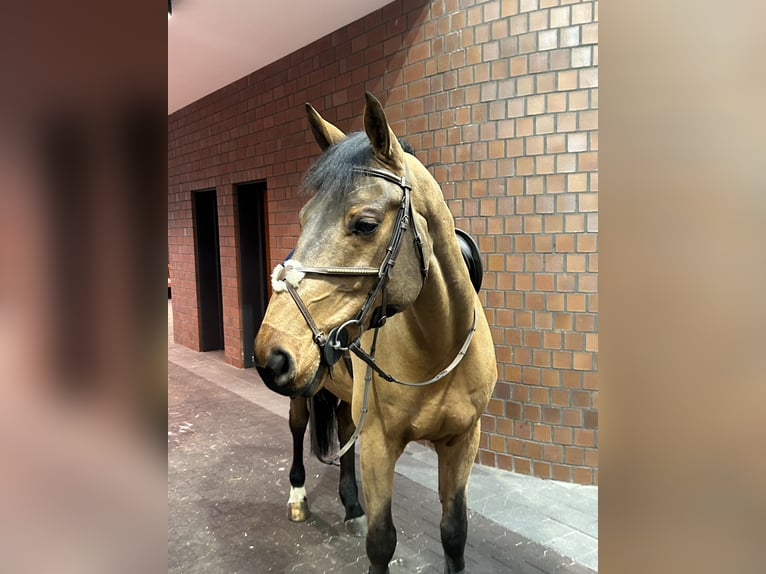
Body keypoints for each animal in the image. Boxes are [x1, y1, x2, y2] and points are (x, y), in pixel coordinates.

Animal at [255, 93, 500, 574]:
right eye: (304, 218)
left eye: (365, 224)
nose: (271, 354)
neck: (436, 349)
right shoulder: (379, 444)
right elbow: (382, 541)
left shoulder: (462, 441)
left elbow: (454, 533)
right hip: (303, 397)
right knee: (297, 431)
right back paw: (298, 497)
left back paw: (351, 507)